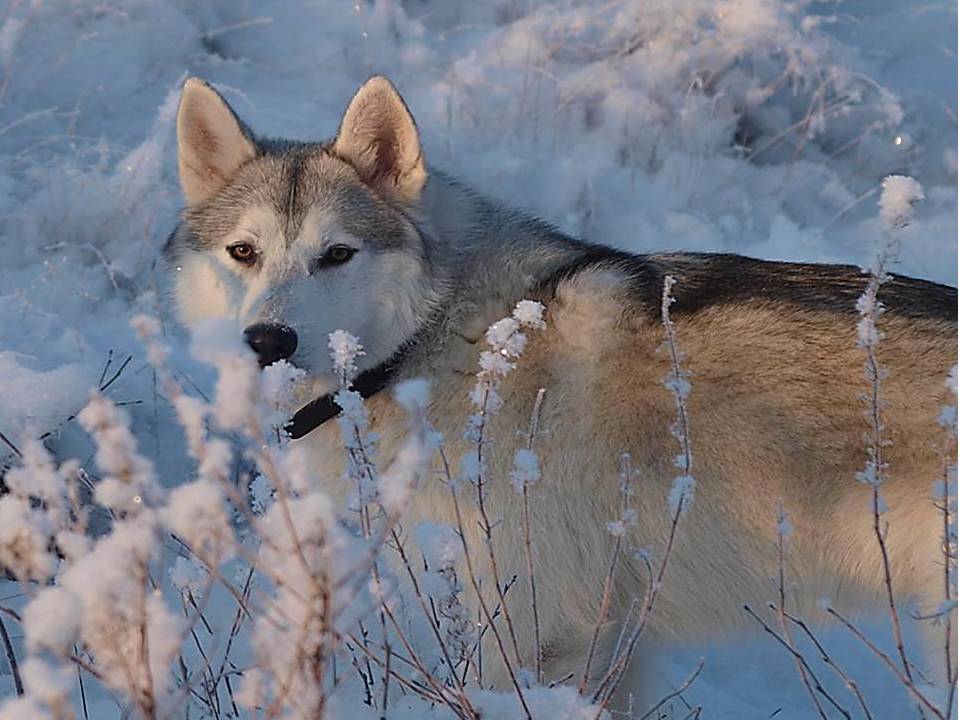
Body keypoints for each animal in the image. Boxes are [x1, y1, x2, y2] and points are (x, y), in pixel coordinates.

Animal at [165, 75, 957, 704]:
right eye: (243, 252)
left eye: (337, 254)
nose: (268, 341)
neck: (449, 333)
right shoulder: (612, 637)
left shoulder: (537, 630)